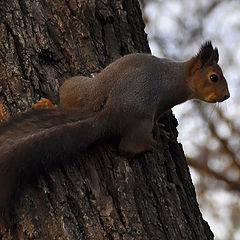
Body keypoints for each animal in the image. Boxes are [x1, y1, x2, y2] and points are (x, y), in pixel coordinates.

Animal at [0, 41, 230, 212]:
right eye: (214, 77)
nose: (227, 96)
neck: (179, 75)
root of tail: (110, 114)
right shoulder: (164, 102)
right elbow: (157, 118)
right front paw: (161, 131)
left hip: (81, 89)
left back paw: (46, 104)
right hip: (140, 123)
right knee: (127, 147)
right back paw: (148, 145)